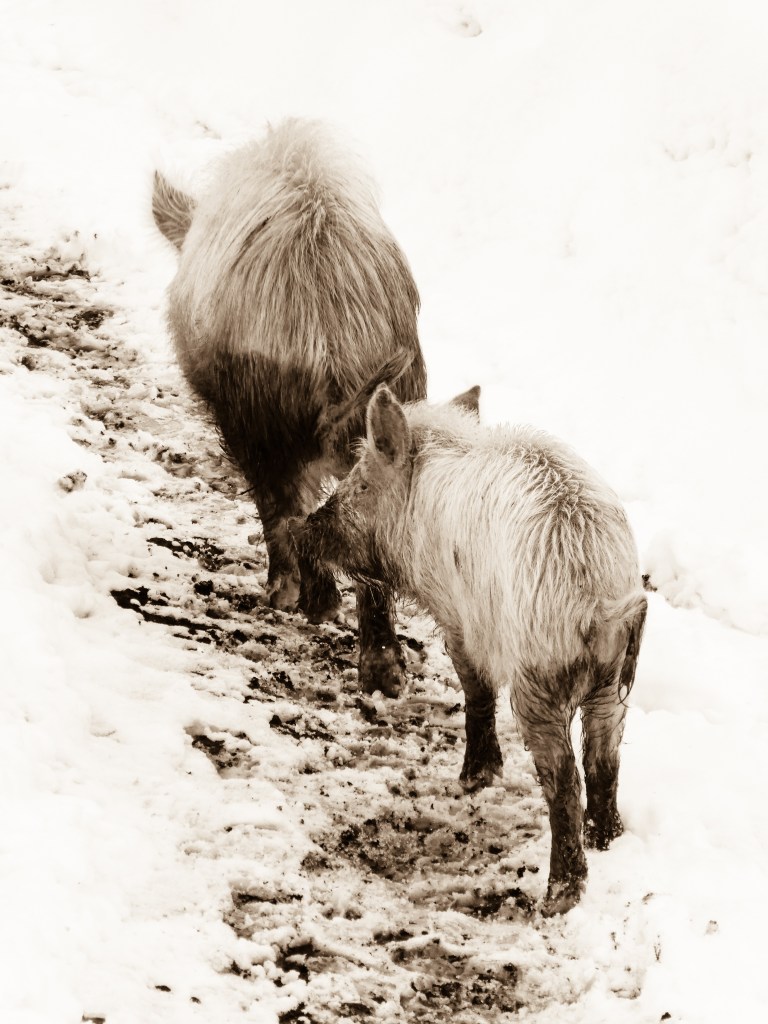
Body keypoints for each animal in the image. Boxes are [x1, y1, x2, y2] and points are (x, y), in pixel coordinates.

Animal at [152, 118, 426, 697]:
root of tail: (329, 331)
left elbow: (276, 504)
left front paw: (290, 597)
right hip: (402, 395)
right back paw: (384, 675)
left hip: (260, 415)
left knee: (284, 504)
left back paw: (304, 602)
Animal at [289, 385, 647, 915]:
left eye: (362, 484)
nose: (303, 527)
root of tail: (602, 603)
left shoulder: (459, 617)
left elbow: (475, 690)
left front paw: (473, 780)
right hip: (612, 684)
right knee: (605, 761)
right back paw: (607, 842)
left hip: (537, 677)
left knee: (564, 779)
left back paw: (557, 896)